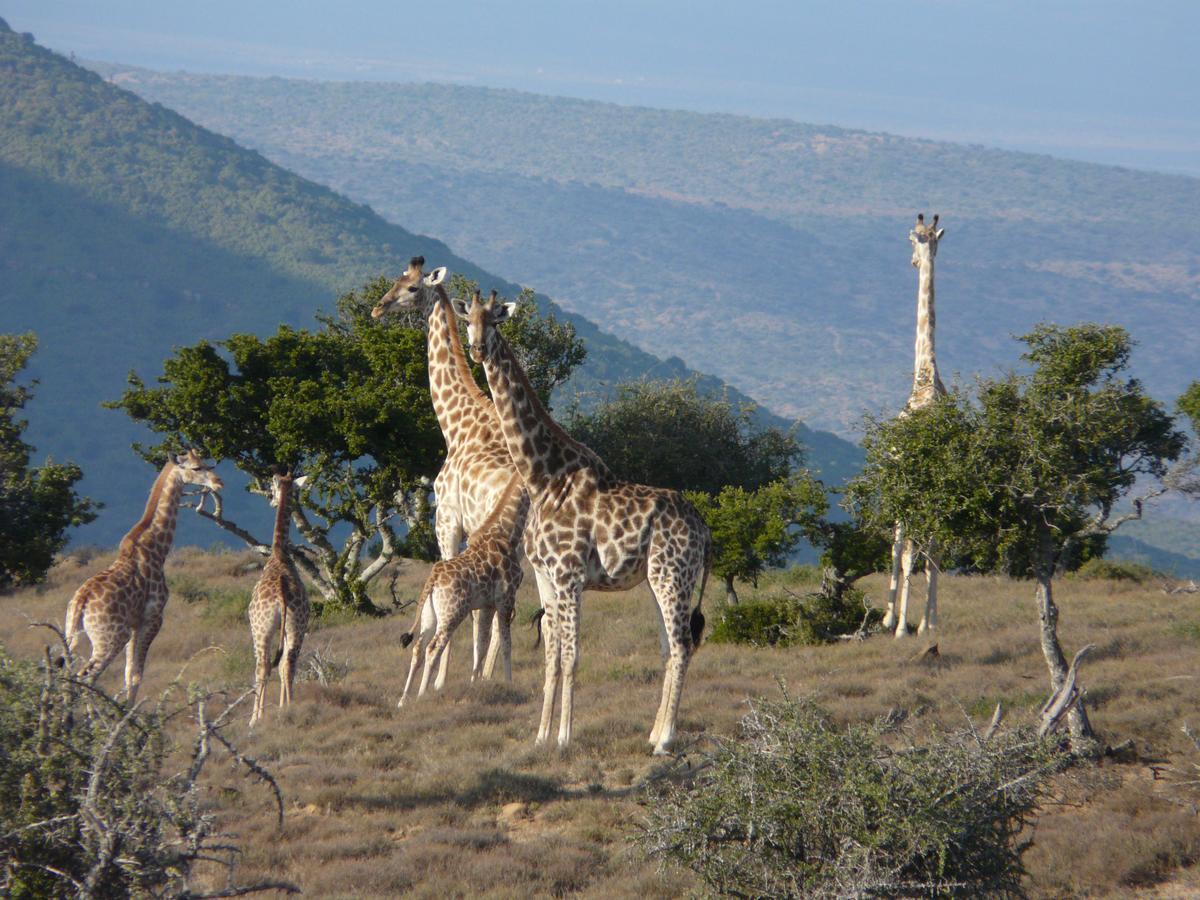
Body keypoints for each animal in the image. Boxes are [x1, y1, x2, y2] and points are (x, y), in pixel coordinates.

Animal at [63, 451, 223, 705]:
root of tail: (81, 603)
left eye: (207, 463)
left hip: (72, 634)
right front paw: (127, 713)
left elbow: (129, 674)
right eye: (196, 468)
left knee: (69, 677)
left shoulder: (135, 622)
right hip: (110, 638)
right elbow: (137, 675)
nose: (219, 482)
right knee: (87, 677)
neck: (156, 549)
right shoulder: (152, 618)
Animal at [243, 475, 307, 729]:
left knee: (263, 667)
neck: (279, 553)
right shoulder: (289, 629)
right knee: (288, 664)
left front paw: (259, 716)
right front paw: (282, 707)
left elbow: (267, 669)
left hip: (261, 629)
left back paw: (254, 719)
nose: (271, 500)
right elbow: (282, 667)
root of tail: (281, 593)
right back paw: (289, 708)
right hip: (296, 626)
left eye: (272, 488)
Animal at [396, 475, 528, 710]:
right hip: (452, 613)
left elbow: (481, 644)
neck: (507, 531)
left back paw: (403, 700)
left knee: (418, 647)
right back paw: (422, 695)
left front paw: (475, 683)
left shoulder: (488, 604)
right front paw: (509, 683)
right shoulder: (506, 598)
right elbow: (506, 643)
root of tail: (433, 580)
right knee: (433, 648)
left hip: (430, 614)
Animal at [453, 292, 705, 758]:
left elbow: (571, 656)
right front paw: (540, 736)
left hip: (673, 574)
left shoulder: (569, 574)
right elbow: (551, 657)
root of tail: (705, 528)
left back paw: (665, 740)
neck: (543, 477)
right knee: (668, 646)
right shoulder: (545, 576)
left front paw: (565, 738)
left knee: (682, 644)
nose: (477, 348)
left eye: (495, 321)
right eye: (468, 321)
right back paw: (653, 733)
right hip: (656, 578)